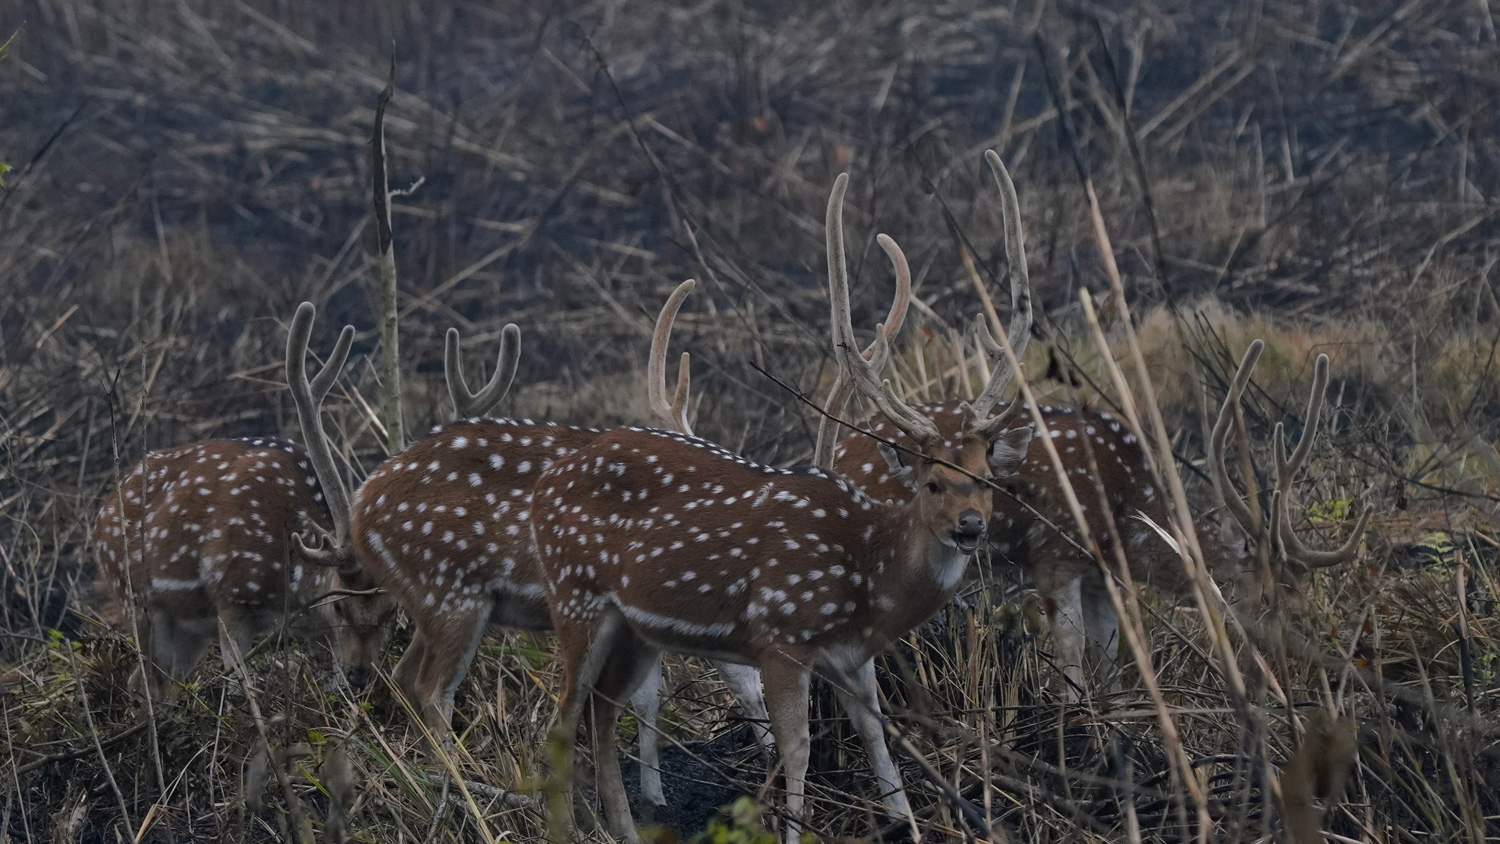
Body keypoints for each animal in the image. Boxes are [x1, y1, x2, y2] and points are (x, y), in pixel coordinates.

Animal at [92, 304, 387, 701]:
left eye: (391, 614)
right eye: (339, 605)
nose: (360, 674)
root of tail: (100, 516)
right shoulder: (229, 595)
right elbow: (238, 684)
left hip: (184, 635)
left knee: (154, 682)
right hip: (133, 598)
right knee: (141, 679)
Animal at [534, 163, 1038, 844]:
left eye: (986, 477)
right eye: (930, 480)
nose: (969, 527)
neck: (867, 574)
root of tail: (547, 482)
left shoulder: (852, 658)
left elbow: (879, 738)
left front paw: (905, 823)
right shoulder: (778, 637)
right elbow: (796, 748)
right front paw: (793, 823)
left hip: (630, 628)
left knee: (601, 716)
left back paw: (628, 825)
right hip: (576, 598)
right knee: (563, 720)